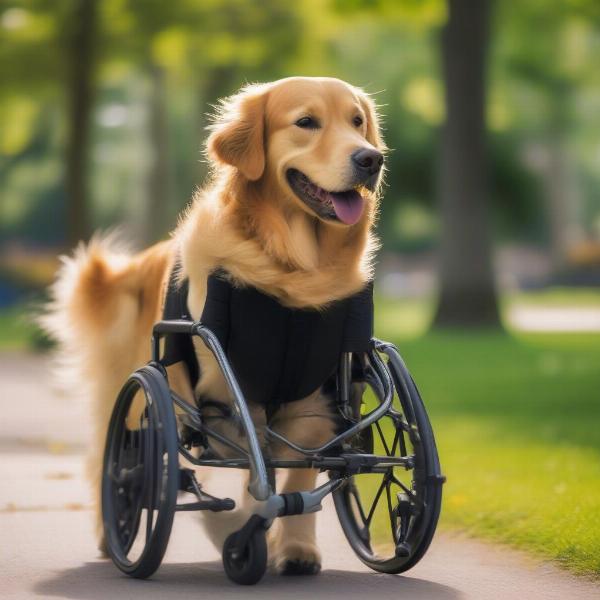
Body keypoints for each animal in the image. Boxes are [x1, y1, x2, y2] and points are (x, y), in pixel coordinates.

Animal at [44, 77, 386, 576]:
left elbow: (298, 473)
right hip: (136, 397)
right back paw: (119, 534)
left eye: (357, 122)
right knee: (119, 460)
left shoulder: (313, 398)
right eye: (306, 122)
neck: (292, 269)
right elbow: (249, 473)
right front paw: (242, 531)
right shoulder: (223, 392)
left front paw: (295, 546)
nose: (370, 159)